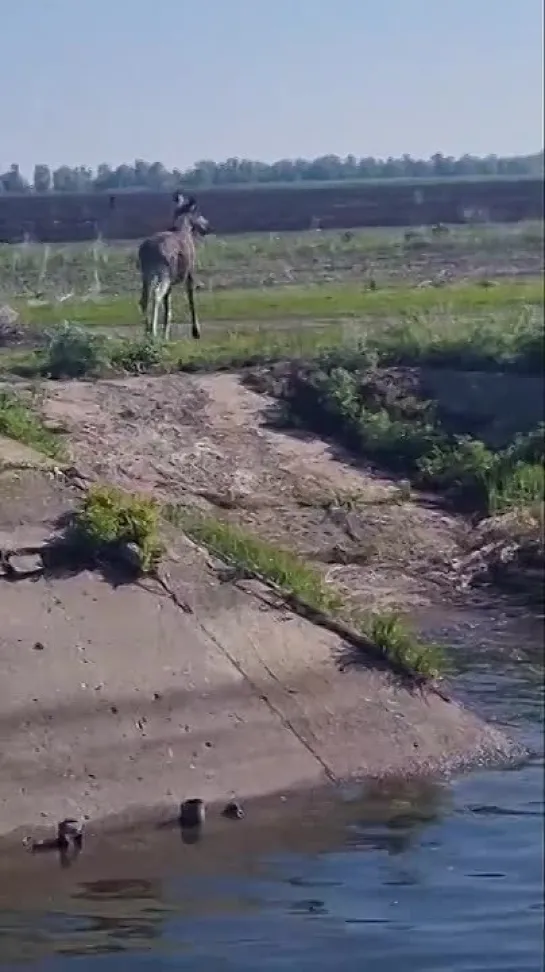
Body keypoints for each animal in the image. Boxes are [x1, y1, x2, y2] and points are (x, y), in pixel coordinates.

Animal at [138, 192, 210, 340]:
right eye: (198, 212)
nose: (207, 227)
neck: (184, 229)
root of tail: (147, 251)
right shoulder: (190, 272)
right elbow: (191, 300)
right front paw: (196, 331)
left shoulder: (171, 282)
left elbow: (168, 307)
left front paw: (166, 333)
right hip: (163, 274)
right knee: (156, 294)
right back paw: (153, 332)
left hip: (146, 274)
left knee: (144, 299)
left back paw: (147, 332)